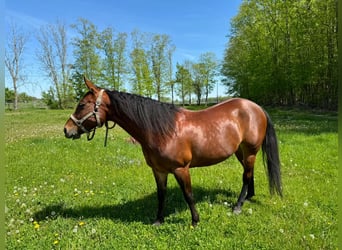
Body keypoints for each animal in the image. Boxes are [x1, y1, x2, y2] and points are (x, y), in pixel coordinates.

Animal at [63, 78, 280, 227]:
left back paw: (238, 206)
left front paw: (195, 221)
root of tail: (256, 107)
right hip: (240, 151)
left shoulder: (181, 169)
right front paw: (158, 220)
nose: (67, 130)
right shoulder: (159, 170)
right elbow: (161, 195)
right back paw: (248, 197)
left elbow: (188, 195)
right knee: (249, 174)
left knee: (246, 176)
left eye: (82, 105)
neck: (161, 130)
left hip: (250, 151)